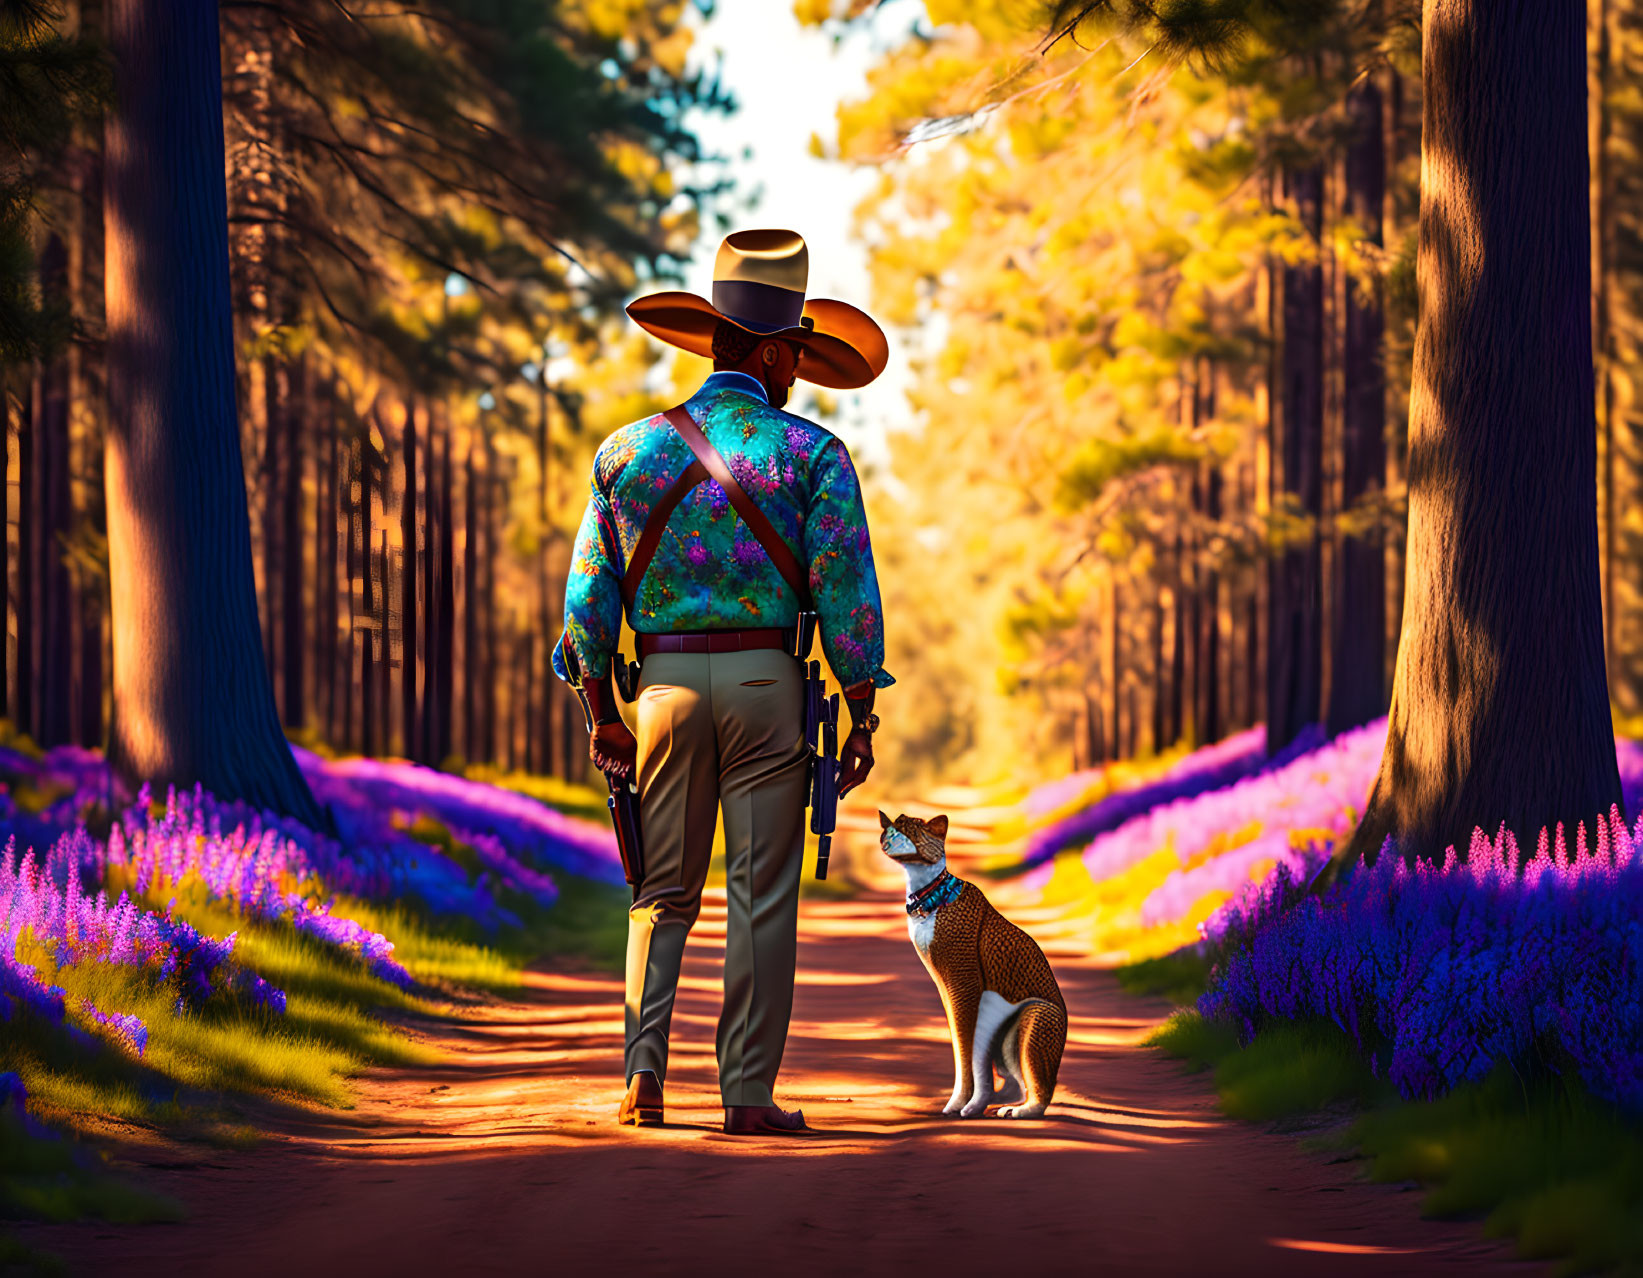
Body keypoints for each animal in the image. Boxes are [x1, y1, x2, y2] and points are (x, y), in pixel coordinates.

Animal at [880, 811, 1071, 1110]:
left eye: (909, 826)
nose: (885, 835)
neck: (931, 893)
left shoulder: (965, 982)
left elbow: (966, 1047)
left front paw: (961, 1104)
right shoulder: (946, 985)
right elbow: (962, 1046)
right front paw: (964, 1103)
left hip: (1039, 1014)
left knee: (1040, 1085)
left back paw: (1016, 1110)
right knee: (1015, 1084)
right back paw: (998, 1102)